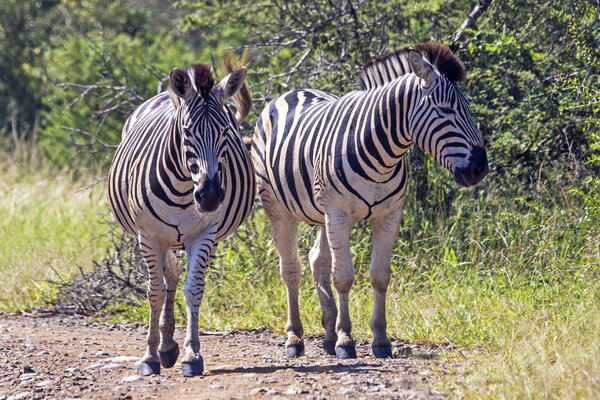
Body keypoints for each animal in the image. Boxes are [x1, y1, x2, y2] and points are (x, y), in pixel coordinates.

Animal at [109, 57, 254, 376]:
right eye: (187, 132)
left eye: (226, 132)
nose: (210, 196)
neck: (184, 188)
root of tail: (168, 95)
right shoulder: (148, 236)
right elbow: (155, 292)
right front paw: (150, 356)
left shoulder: (205, 235)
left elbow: (193, 290)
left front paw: (192, 354)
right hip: (161, 239)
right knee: (167, 279)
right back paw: (163, 347)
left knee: (175, 277)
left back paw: (169, 346)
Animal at [251, 43, 490, 360]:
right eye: (446, 109)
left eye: (468, 110)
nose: (480, 168)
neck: (382, 155)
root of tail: (293, 91)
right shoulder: (339, 214)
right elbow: (344, 277)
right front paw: (346, 340)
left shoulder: (388, 216)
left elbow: (379, 276)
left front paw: (380, 339)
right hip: (278, 207)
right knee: (291, 269)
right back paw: (295, 339)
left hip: (320, 212)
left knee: (318, 261)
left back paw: (328, 334)